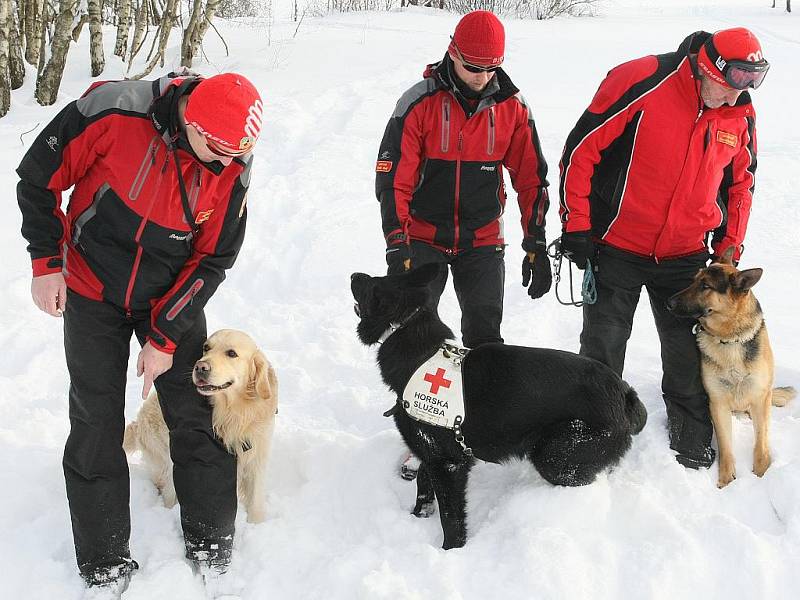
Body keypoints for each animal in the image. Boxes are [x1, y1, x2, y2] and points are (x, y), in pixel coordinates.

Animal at [354, 264, 648, 552]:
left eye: (371, 285)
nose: (354, 274)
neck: (415, 348)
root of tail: (625, 393)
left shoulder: (449, 465)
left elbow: (451, 518)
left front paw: (451, 552)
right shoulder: (431, 453)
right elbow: (423, 489)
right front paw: (417, 519)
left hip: (555, 455)